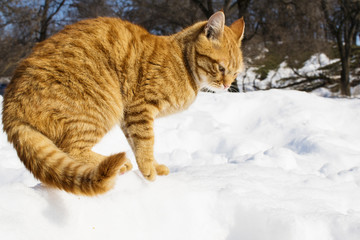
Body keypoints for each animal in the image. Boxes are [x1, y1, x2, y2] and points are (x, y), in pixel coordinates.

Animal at [1, 11, 245, 195]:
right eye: (221, 68)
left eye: (235, 73)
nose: (227, 85)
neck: (183, 62)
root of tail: (9, 107)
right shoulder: (141, 108)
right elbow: (146, 142)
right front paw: (148, 169)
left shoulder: (129, 117)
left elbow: (138, 145)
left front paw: (154, 165)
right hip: (103, 106)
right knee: (70, 148)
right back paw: (118, 164)